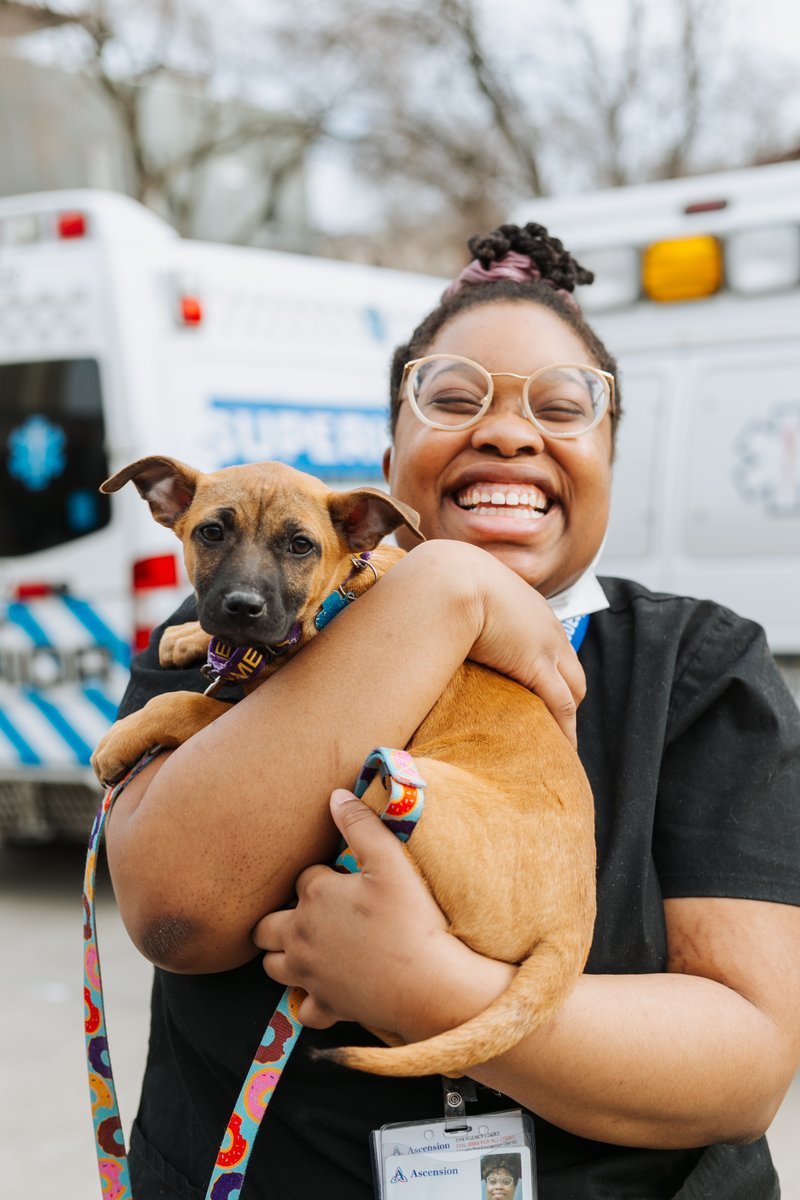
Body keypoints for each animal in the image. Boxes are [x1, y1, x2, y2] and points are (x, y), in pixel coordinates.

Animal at [94, 456, 594, 1080]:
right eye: (211, 532)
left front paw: (119, 739)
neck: (341, 596)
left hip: (402, 782)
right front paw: (185, 636)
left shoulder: (254, 701)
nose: (242, 607)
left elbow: (185, 703)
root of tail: (571, 929)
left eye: (300, 545)